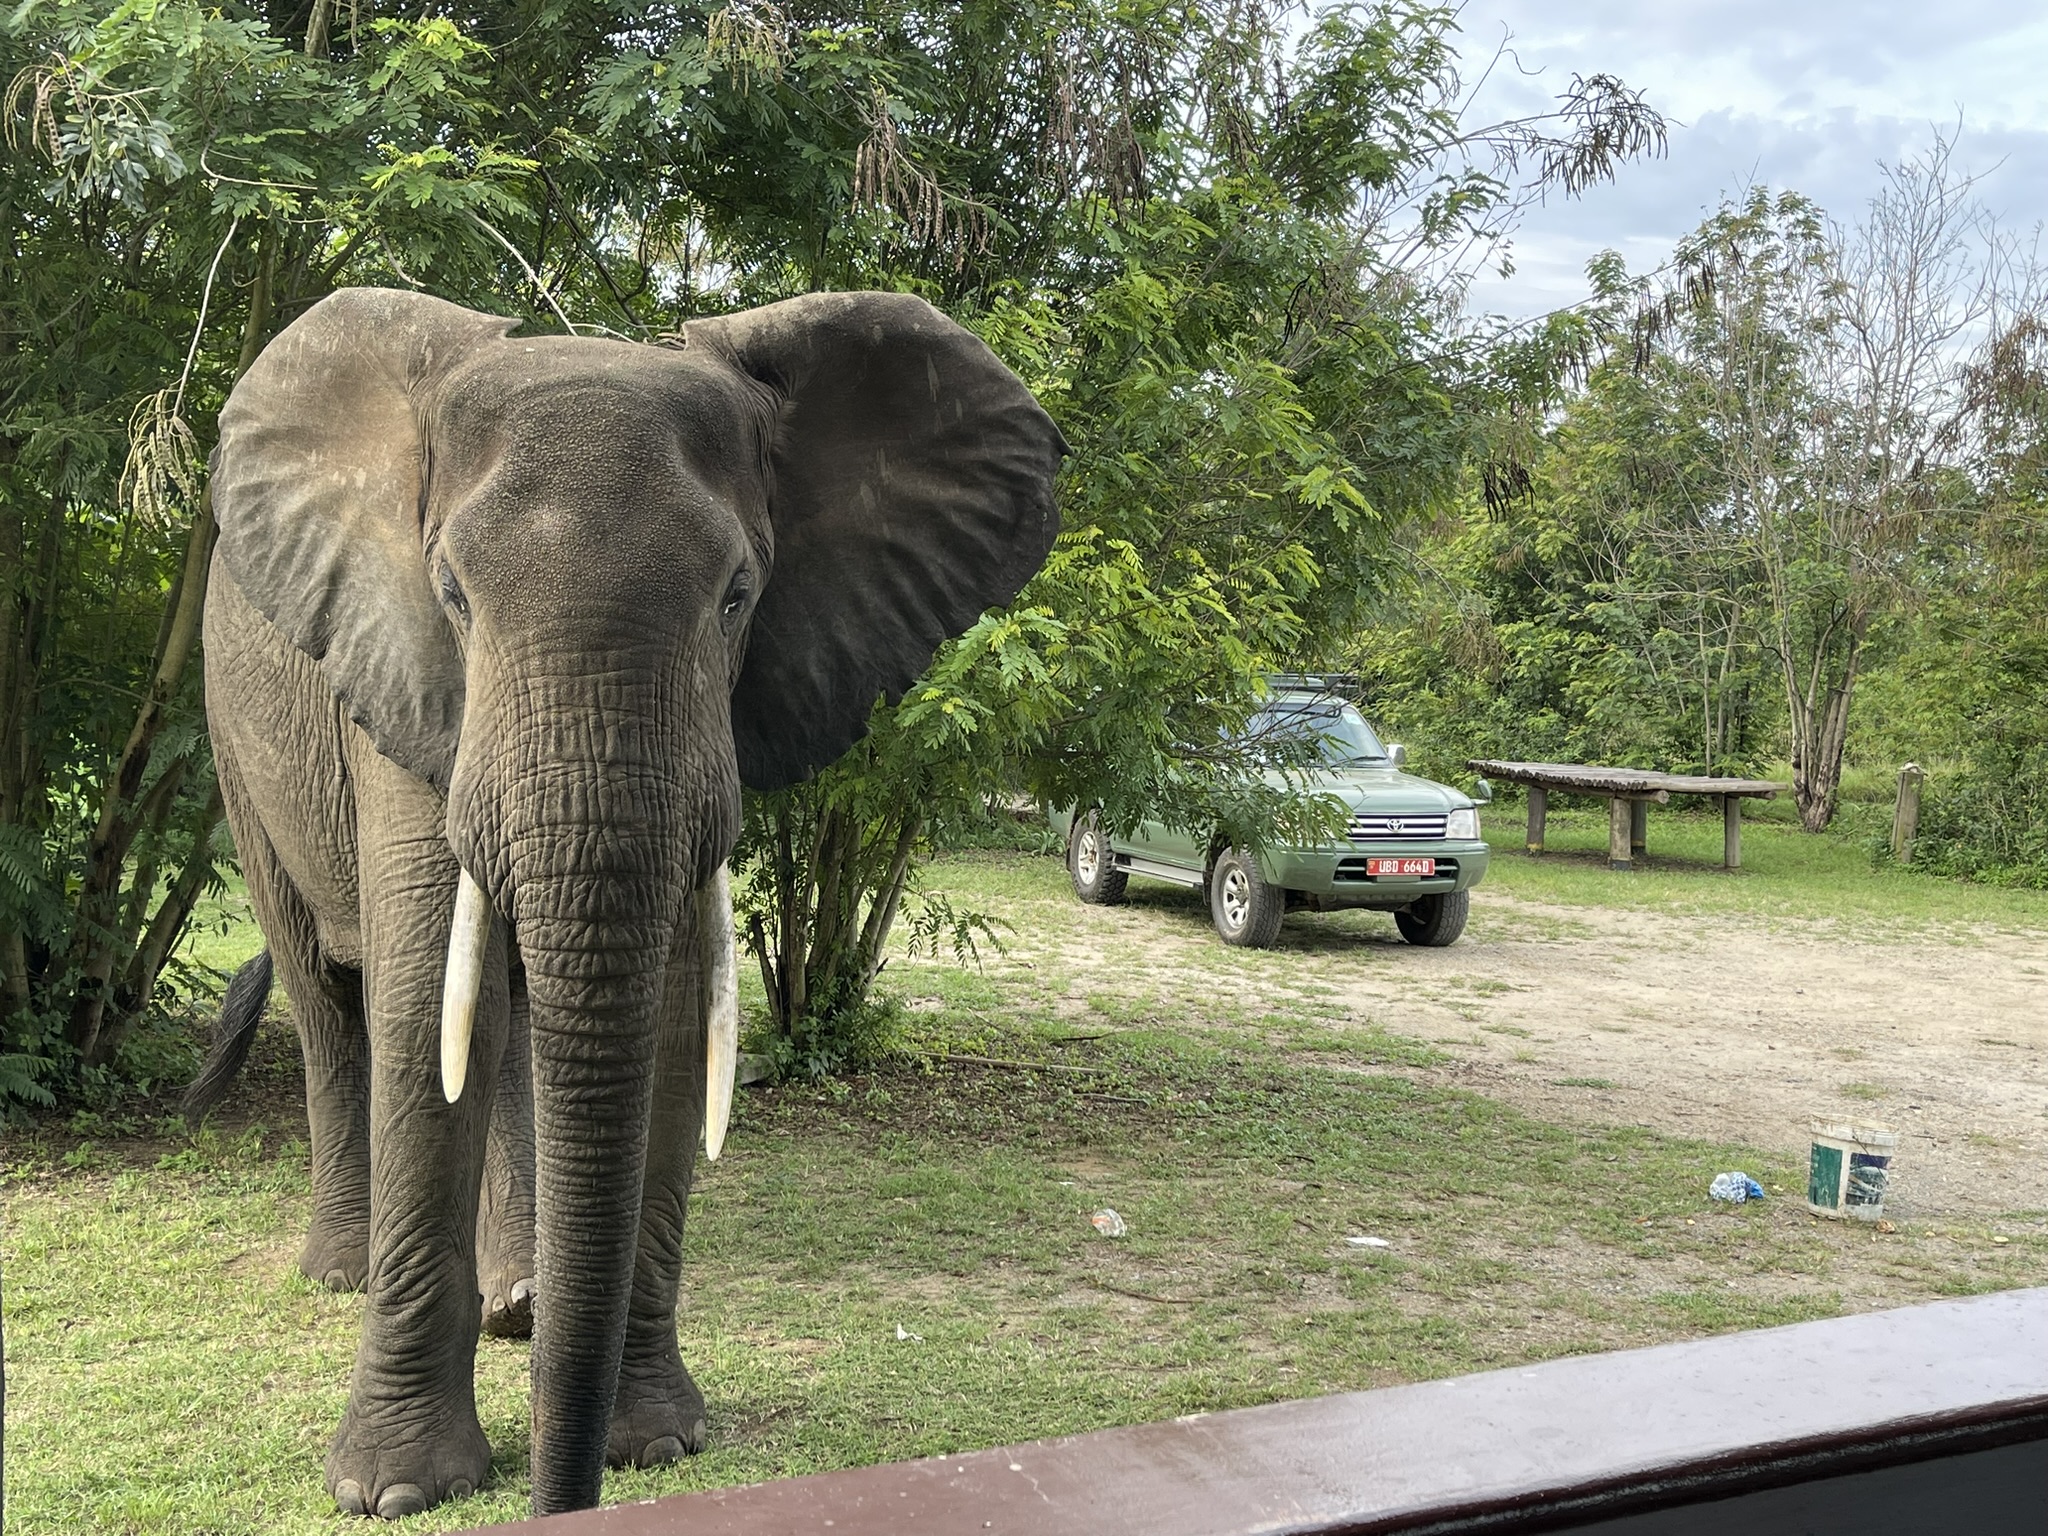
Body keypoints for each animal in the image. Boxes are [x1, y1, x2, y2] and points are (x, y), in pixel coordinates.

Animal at [201, 286, 1063, 1517]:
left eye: (738, 597)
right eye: (452, 594)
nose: (556, 1501)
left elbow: (663, 1017)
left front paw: (651, 1445)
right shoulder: (408, 684)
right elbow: (422, 1011)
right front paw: (396, 1492)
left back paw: (522, 1303)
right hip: (235, 739)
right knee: (329, 995)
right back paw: (343, 1275)